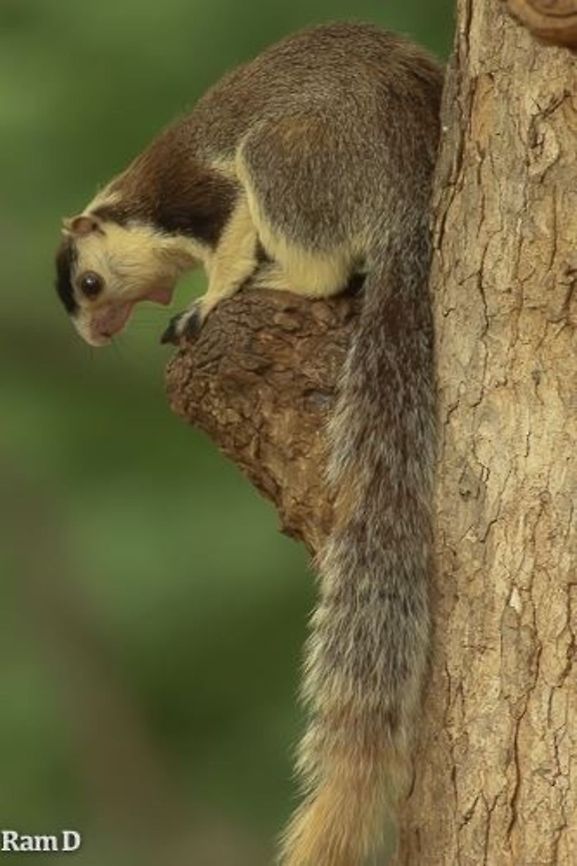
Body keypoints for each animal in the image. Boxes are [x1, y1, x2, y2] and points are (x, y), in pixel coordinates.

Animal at [54, 22, 442, 866]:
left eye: (91, 285)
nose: (95, 339)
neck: (136, 204)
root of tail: (408, 201)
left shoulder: (206, 198)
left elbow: (229, 241)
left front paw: (210, 298)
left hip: (291, 156)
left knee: (321, 267)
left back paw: (278, 280)